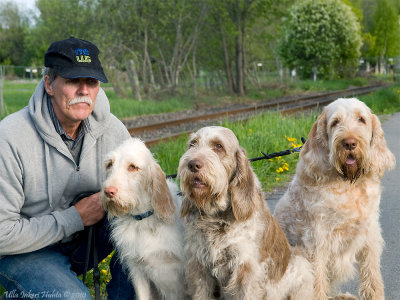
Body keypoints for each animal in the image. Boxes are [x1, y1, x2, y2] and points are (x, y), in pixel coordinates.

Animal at [177, 126, 312, 300]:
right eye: (192, 144)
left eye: (218, 146)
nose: (192, 164)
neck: (216, 216)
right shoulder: (199, 268)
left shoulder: (245, 271)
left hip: (301, 266)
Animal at [274, 99, 396, 300]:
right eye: (335, 122)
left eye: (361, 119)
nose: (349, 143)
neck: (348, 183)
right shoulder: (316, 241)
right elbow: (317, 283)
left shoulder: (369, 234)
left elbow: (372, 276)